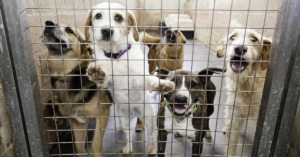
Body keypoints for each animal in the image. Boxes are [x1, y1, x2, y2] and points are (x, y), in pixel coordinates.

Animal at [42, 20, 112, 157]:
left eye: (70, 30)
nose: (48, 22)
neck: (66, 75)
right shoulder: (77, 122)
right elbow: (79, 148)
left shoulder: (102, 114)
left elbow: (95, 145)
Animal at [83, 2, 175, 155]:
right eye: (98, 16)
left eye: (118, 17)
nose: (106, 31)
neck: (117, 56)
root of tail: (133, 112)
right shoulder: (108, 81)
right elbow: (103, 76)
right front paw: (96, 73)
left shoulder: (138, 77)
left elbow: (150, 80)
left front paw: (162, 84)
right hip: (124, 120)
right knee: (129, 136)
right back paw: (129, 147)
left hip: (149, 119)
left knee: (150, 136)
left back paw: (152, 148)